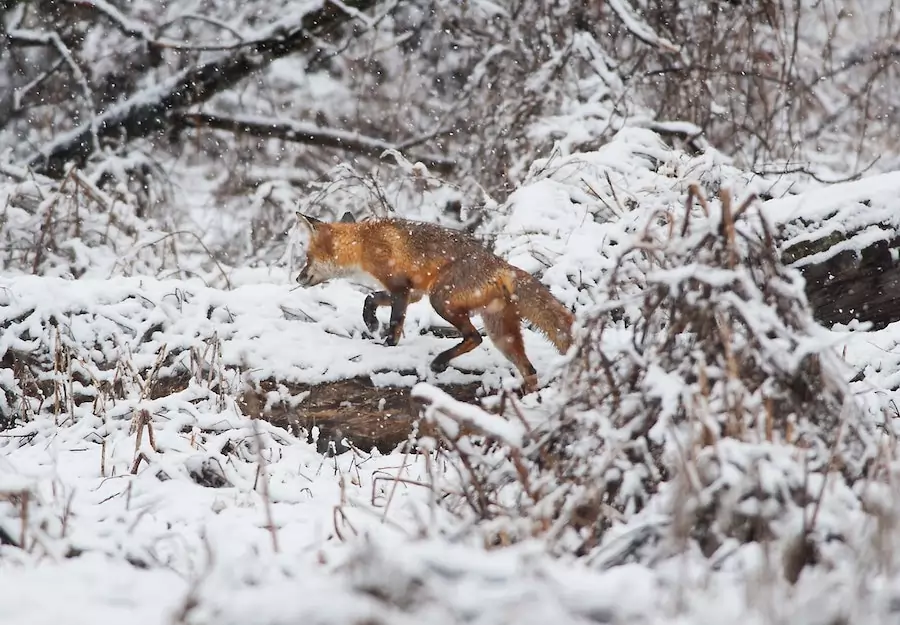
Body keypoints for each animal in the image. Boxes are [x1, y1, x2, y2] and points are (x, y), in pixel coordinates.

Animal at [296, 212, 576, 392]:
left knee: (475, 337)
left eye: (307, 257)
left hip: (441, 300)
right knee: (529, 370)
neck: (363, 242)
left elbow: (394, 323)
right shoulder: (412, 293)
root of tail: (501, 264)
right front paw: (371, 322)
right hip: (501, 334)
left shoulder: (401, 288)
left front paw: (386, 345)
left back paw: (441, 361)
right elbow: (370, 298)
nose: (298, 278)